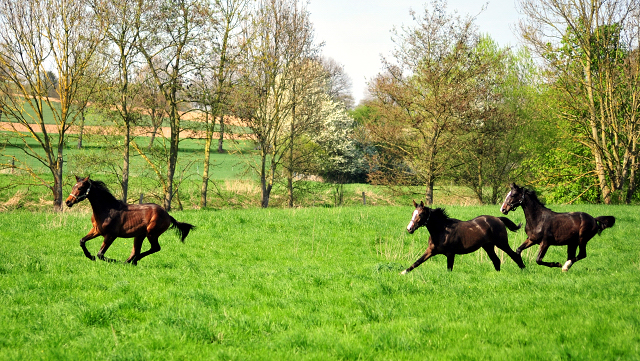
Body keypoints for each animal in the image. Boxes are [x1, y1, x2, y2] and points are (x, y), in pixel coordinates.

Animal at [65, 175, 196, 264]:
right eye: (73, 187)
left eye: (80, 188)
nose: (68, 202)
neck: (107, 208)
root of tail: (168, 215)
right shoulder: (96, 230)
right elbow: (82, 241)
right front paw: (90, 256)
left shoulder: (111, 235)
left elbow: (100, 254)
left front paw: (113, 260)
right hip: (140, 235)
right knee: (136, 250)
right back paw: (129, 262)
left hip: (151, 234)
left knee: (154, 248)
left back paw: (131, 261)